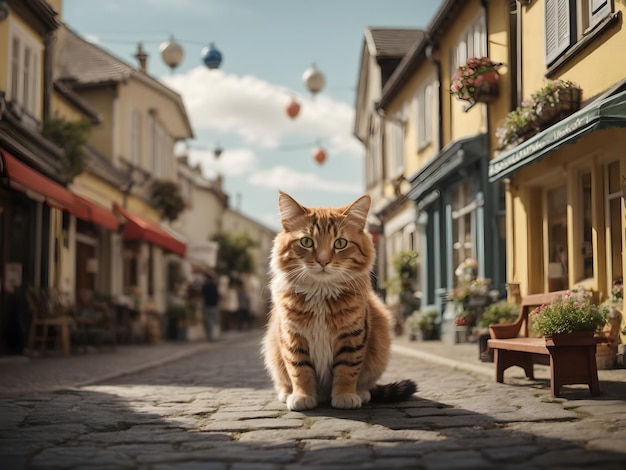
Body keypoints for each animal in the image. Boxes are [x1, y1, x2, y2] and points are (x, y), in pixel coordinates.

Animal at [262, 193, 414, 410]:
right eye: (306, 242)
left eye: (340, 243)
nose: (323, 261)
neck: (321, 293)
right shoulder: (293, 338)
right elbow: (299, 371)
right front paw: (302, 396)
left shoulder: (352, 336)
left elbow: (347, 370)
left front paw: (345, 396)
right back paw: (286, 393)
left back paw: (362, 393)